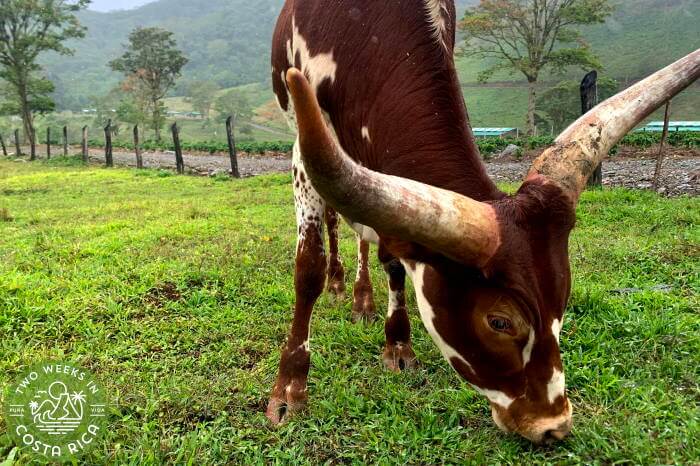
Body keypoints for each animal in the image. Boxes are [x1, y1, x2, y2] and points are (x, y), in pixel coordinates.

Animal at [265, 0, 700, 444]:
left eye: (562, 302)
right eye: (499, 321)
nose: (554, 424)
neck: (366, 32)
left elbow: (395, 259)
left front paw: (398, 346)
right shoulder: (306, 145)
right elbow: (309, 268)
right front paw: (289, 390)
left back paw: (363, 299)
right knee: (335, 224)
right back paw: (341, 285)